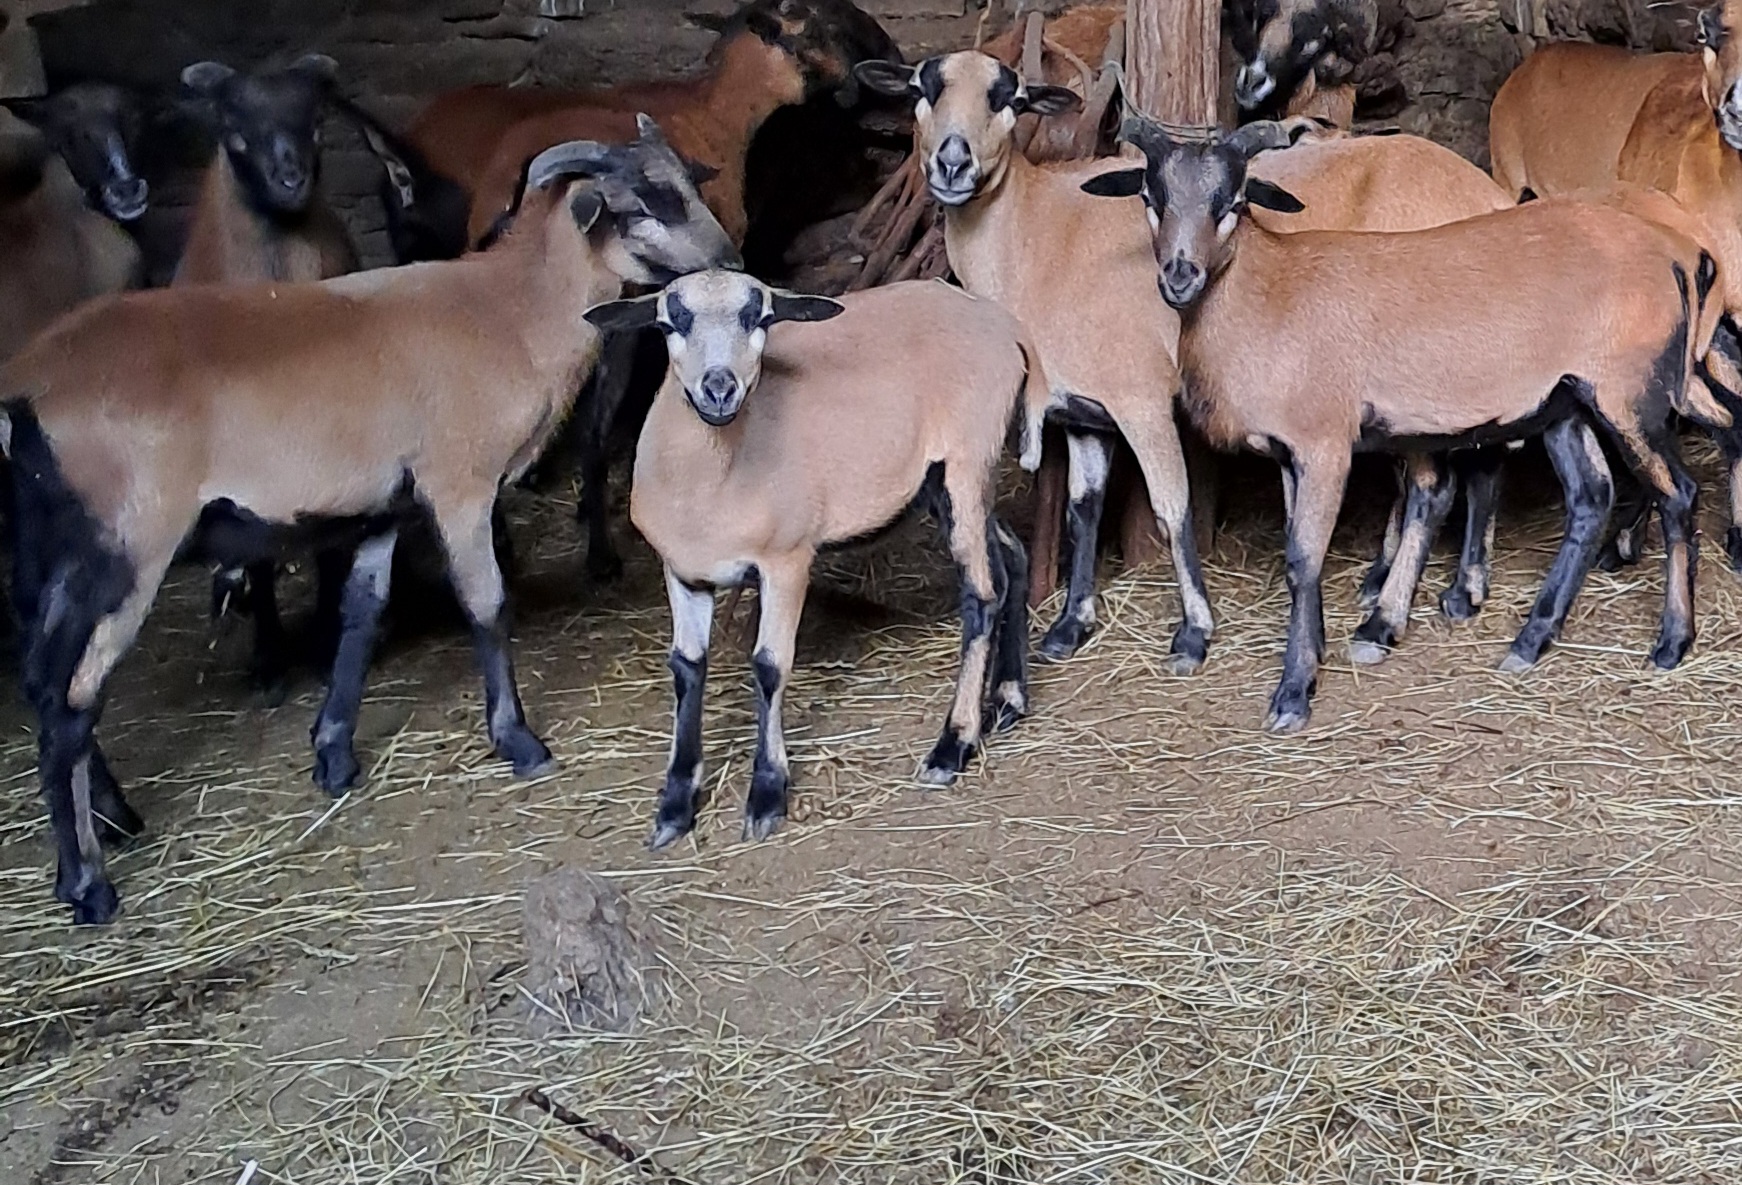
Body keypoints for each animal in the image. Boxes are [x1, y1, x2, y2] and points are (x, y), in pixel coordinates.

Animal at [0, 118, 739, 924]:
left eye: (687, 181)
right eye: (639, 205)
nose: (731, 262)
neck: (513, 312)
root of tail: (25, 392)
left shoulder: (386, 505)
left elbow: (360, 616)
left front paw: (333, 753)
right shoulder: (457, 483)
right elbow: (486, 606)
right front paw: (517, 740)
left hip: (54, 554)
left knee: (41, 681)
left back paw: (112, 821)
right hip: (129, 543)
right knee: (74, 700)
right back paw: (88, 882)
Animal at [583, 271, 1049, 848]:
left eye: (760, 317)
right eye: (671, 322)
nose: (719, 388)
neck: (716, 474)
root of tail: (1004, 325)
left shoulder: (786, 561)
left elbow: (769, 665)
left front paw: (766, 794)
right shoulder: (682, 572)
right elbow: (687, 667)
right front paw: (674, 806)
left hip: (968, 460)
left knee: (981, 596)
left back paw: (953, 744)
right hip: (944, 485)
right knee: (1011, 559)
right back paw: (1008, 698)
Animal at [1081, 116, 1728, 733]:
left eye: (1234, 201)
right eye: (1150, 195)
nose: (1179, 276)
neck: (1268, 291)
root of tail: (1671, 252)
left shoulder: (1325, 444)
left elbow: (1303, 559)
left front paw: (1294, 692)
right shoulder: (1288, 450)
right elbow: (1299, 546)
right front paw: (1322, 648)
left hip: (1629, 395)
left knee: (1678, 494)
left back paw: (1671, 642)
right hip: (1564, 401)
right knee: (1591, 495)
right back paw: (1530, 640)